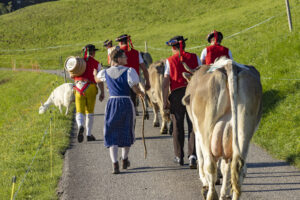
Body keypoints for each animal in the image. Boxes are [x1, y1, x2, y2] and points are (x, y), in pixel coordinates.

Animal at [182, 57, 262, 199]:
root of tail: (229, 65)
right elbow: (225, 168)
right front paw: (224, 193)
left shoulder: (196, 131)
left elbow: (201, 158)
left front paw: (205, 182)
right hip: (244, 130)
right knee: (239, 167)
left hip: (206, 130)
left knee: (210, 164)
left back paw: (210, 193)